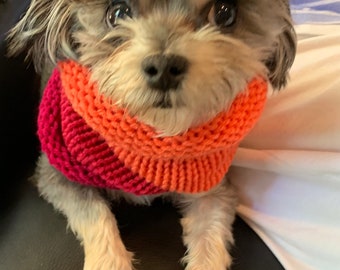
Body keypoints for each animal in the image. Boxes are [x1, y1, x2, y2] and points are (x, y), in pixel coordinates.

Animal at [7, 1, 294, 268]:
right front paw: (109, 262)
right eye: (117, 13)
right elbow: (95, 213)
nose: (164, 66)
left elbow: (210, 234)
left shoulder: (211, 190)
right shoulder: (57, 174)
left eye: (225, 13)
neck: (154, 136)